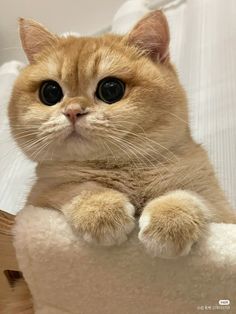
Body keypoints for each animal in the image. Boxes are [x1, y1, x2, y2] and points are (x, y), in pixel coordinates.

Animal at [4, 9, 236, 312]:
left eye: (111, 89)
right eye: (50, 92)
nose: (73, 111)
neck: (122, 168)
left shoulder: (220, 207)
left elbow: (189, 194)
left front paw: (170, 219)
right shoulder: (38, 202)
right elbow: (74, 187)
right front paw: (102, 210)